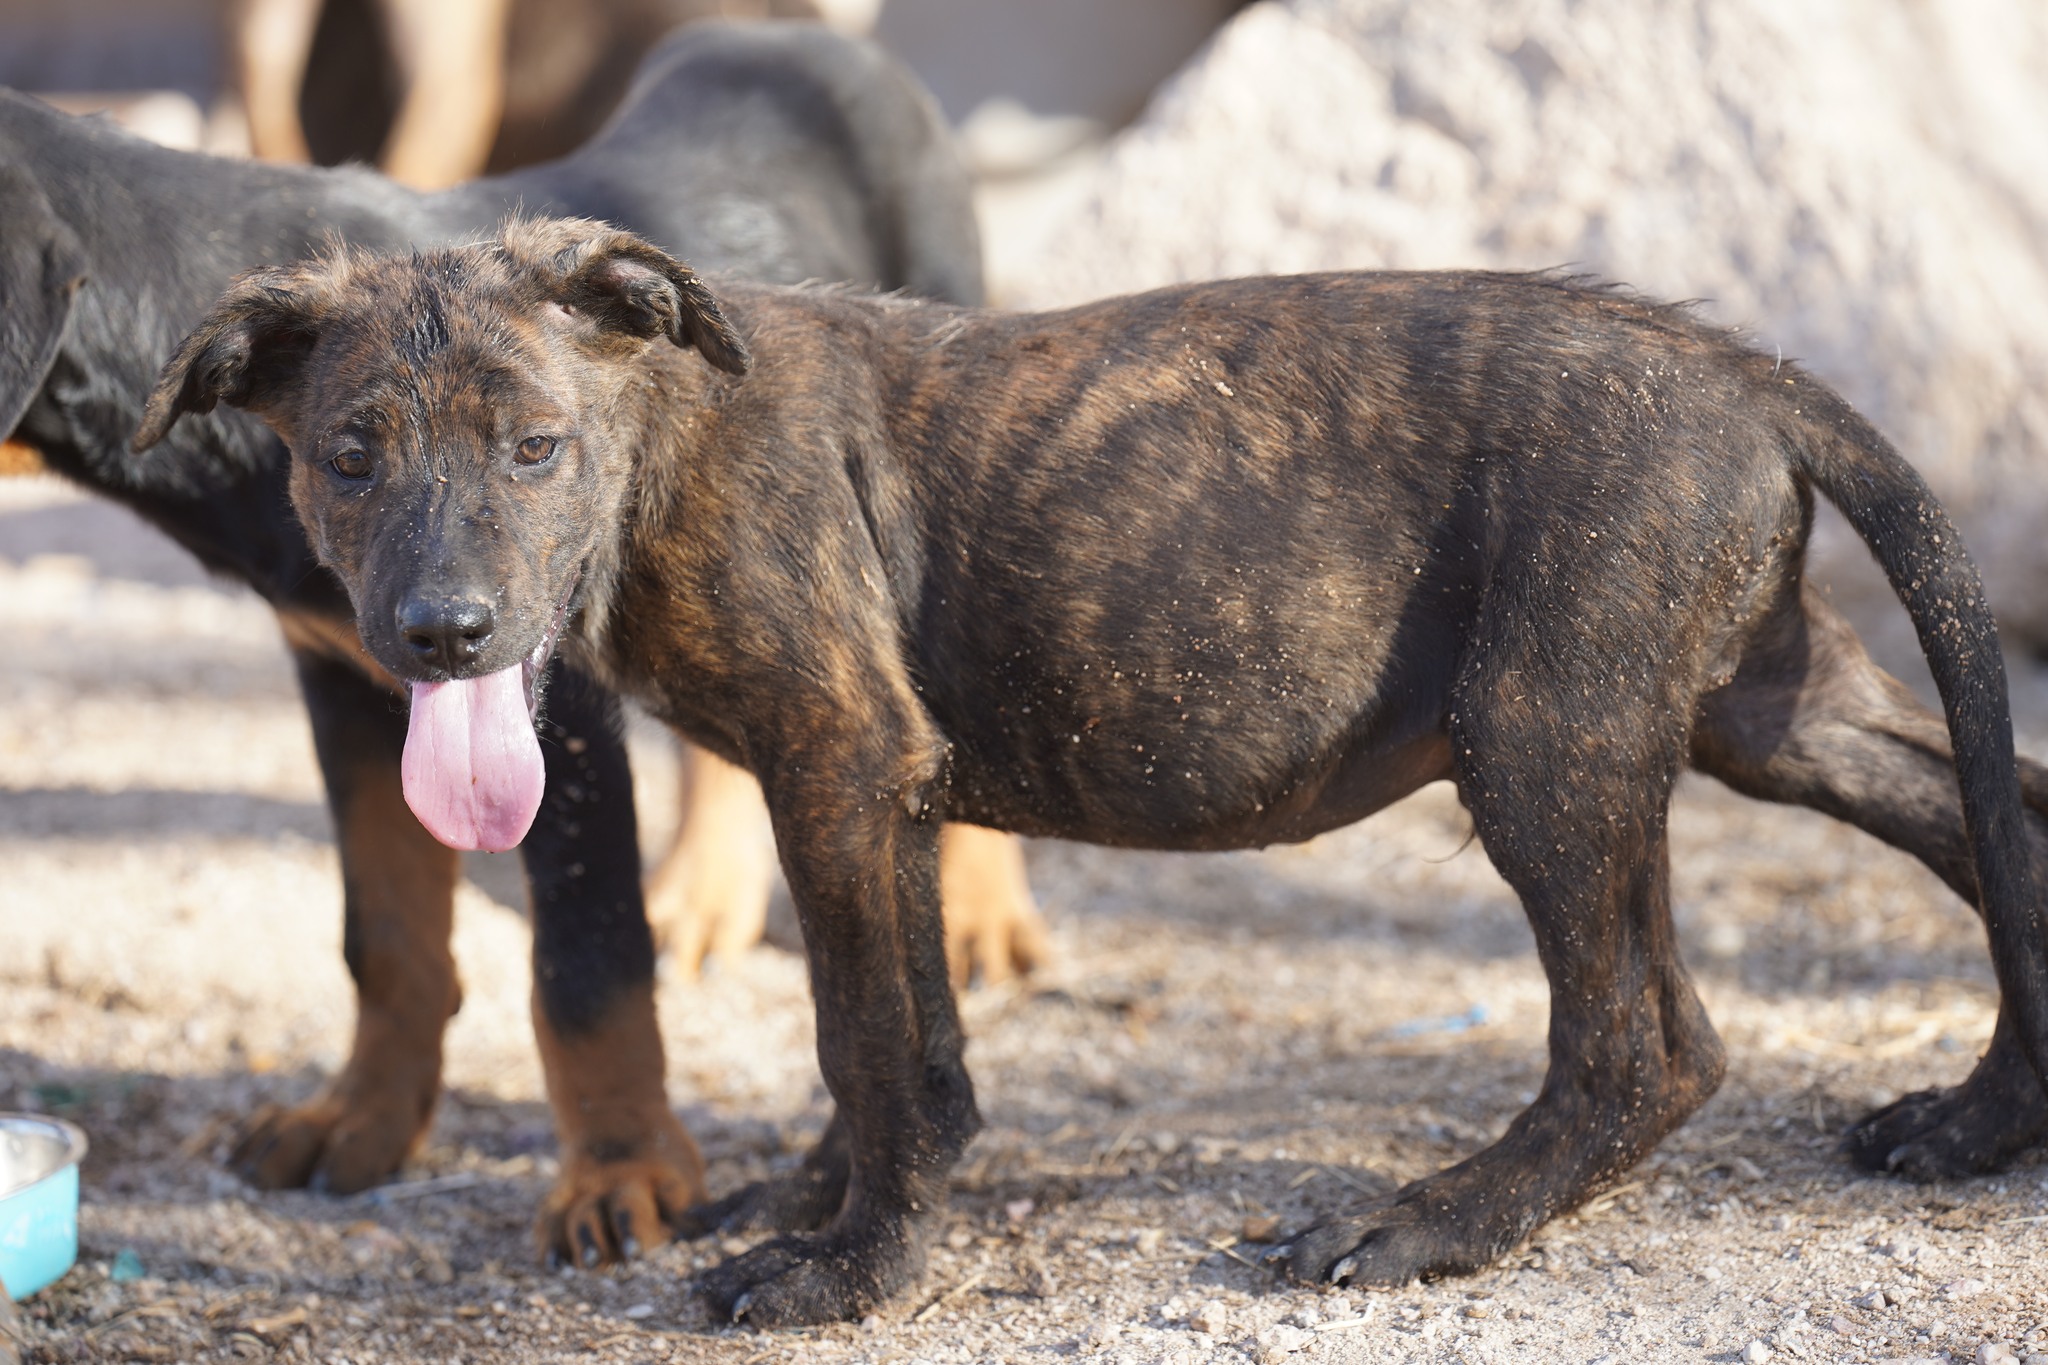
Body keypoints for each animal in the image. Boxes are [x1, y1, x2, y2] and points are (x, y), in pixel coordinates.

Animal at [2, 21, 974, 1268]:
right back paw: (701, 899)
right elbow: (386, 934)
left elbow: (584, 959)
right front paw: (364, 1119)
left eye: (533, 448)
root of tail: (798, 36)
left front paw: (621, 1173)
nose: (445, 630)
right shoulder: (348, 677)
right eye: (348, 461)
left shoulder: (561, 708)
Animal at [136, 222, 2048, 1326]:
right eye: (347, 458)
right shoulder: (881, 790)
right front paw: (836, 1208)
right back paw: (1979, 1118)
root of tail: (1751, 374)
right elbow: (907, 1042)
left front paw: (851, 1274)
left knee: (1651, 1040)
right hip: (1767, 706)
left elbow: (864, 1038)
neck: (665, 430)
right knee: (1994, 815)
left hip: (1547, 736)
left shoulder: (837, 761)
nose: (442, 635)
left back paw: (1423, 1225)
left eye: (536, 450)